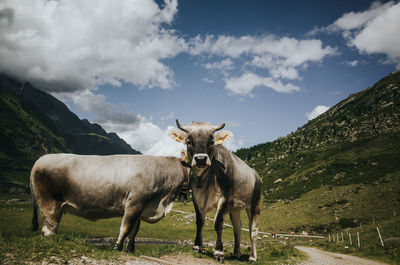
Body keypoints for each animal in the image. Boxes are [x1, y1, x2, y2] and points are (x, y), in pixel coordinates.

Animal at [29, 154, 189, 251]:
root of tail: (41, 159)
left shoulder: (141, 208)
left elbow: (134, 231)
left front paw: (130, 250)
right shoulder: (134, 204)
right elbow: (125, 228)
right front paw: (117, 248)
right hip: (49, 204)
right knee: (49, 229)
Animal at [170, 120, 264, 262]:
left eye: (212, 141)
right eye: (188, 141)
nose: (201, 159)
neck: (204, 181)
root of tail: (255, 174)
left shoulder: (224, 198)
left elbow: (218, 223)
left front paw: (219, 252)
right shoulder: (196, 198)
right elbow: (199, 221)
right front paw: (197, 246)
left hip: (254, 203)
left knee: (253, 230)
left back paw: (252, 257)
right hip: (235, 207)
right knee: (238, 227)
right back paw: (236, 253)